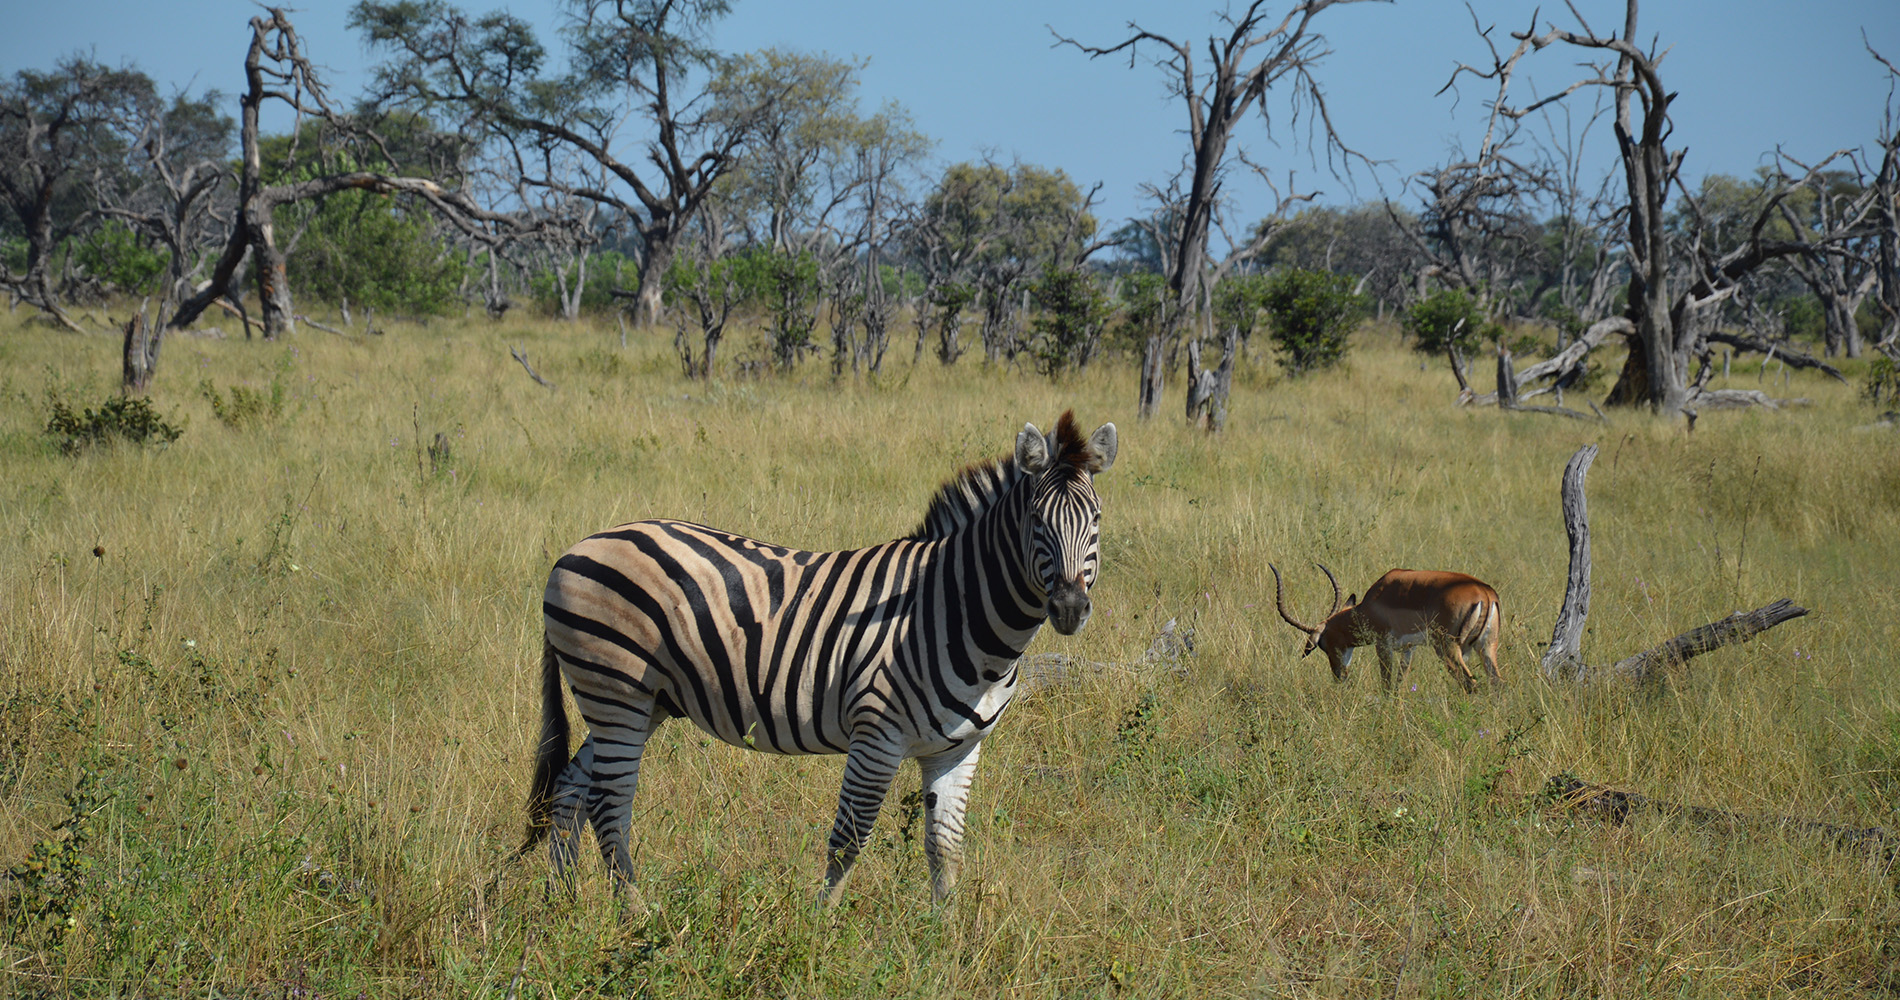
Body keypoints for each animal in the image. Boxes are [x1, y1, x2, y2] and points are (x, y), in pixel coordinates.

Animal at [520, 412, 1109, 904]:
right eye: (1036, 521)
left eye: (1097, 520)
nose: (1070, 608)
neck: (953, 608)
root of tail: (576, 548)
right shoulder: (877, 735)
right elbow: (848, 841)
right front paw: (818, 933)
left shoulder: (958, 749)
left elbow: (945, 848)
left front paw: (947, 941)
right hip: (616, 689)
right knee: (608, 804)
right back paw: (635, 916)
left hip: (641, 702)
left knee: (571, 789)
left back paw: (562, 906)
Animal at [1276, 562, 1497, 699]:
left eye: (1323, 643)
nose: (1339, 675)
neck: (1370, 604)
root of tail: (1483, 591)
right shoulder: (1409, 648)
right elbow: (1399, 684)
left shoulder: (1383, 645)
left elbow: (1386, 684)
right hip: (1486, 647)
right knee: (1497, 683)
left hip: (1447, 648)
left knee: (1471, 683)